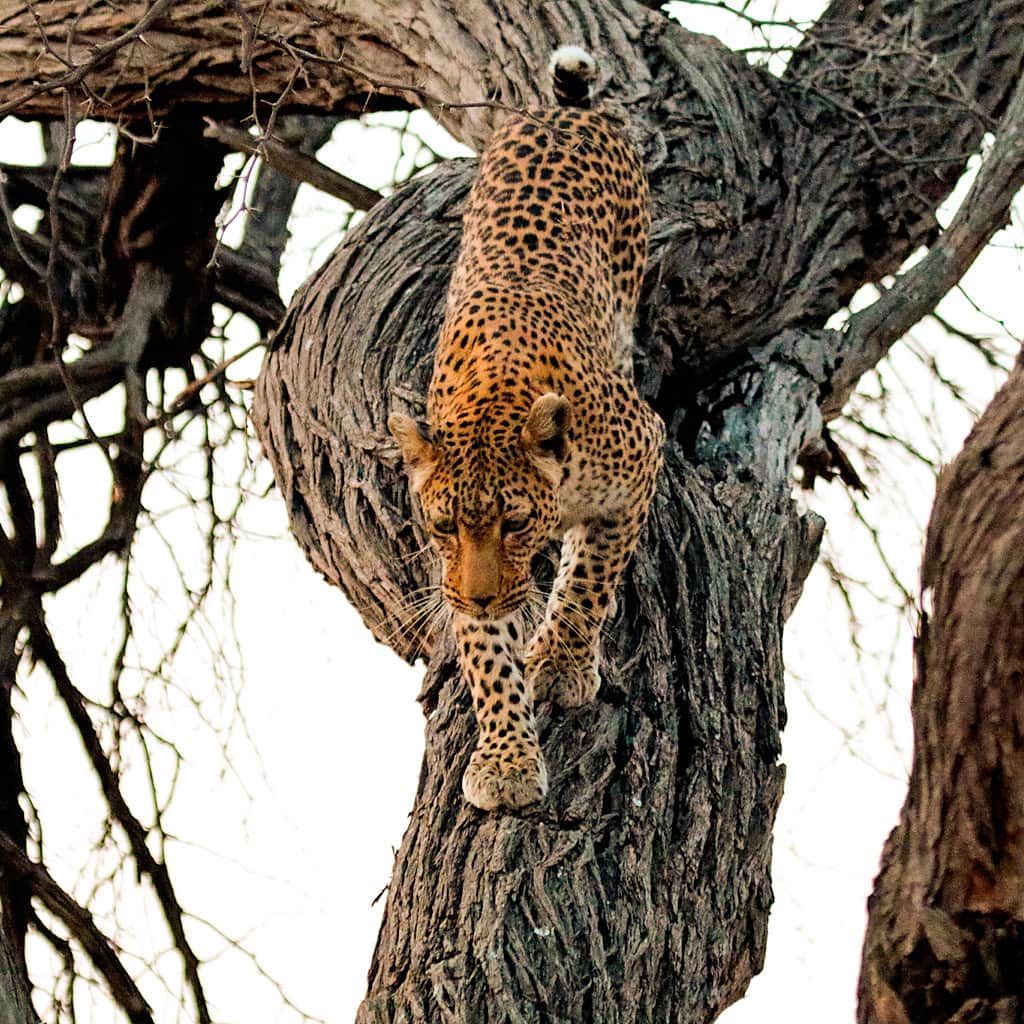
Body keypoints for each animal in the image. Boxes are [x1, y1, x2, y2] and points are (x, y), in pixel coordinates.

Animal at [389, 46, 664, 812]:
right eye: (444, 526)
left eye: (514, 524)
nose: (483, 595)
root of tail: (558, 114)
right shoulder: (457, 574)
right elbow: (488, 661)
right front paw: (506, 759)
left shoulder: (641, 458)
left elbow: (590, 582)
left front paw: (562, 661)